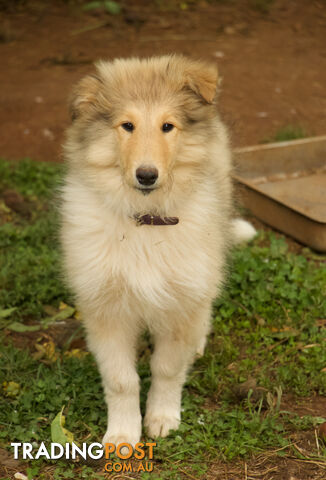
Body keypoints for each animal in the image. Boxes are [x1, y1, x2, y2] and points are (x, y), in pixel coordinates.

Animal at [59, 53, 256, 446]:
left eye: (168, 126)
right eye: (127, 126)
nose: (146, 175)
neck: (146, 220)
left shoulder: (180, 302)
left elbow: (166, 368)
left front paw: (162, 418)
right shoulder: (107, 310)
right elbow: (121, 380)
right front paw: (122, 434)